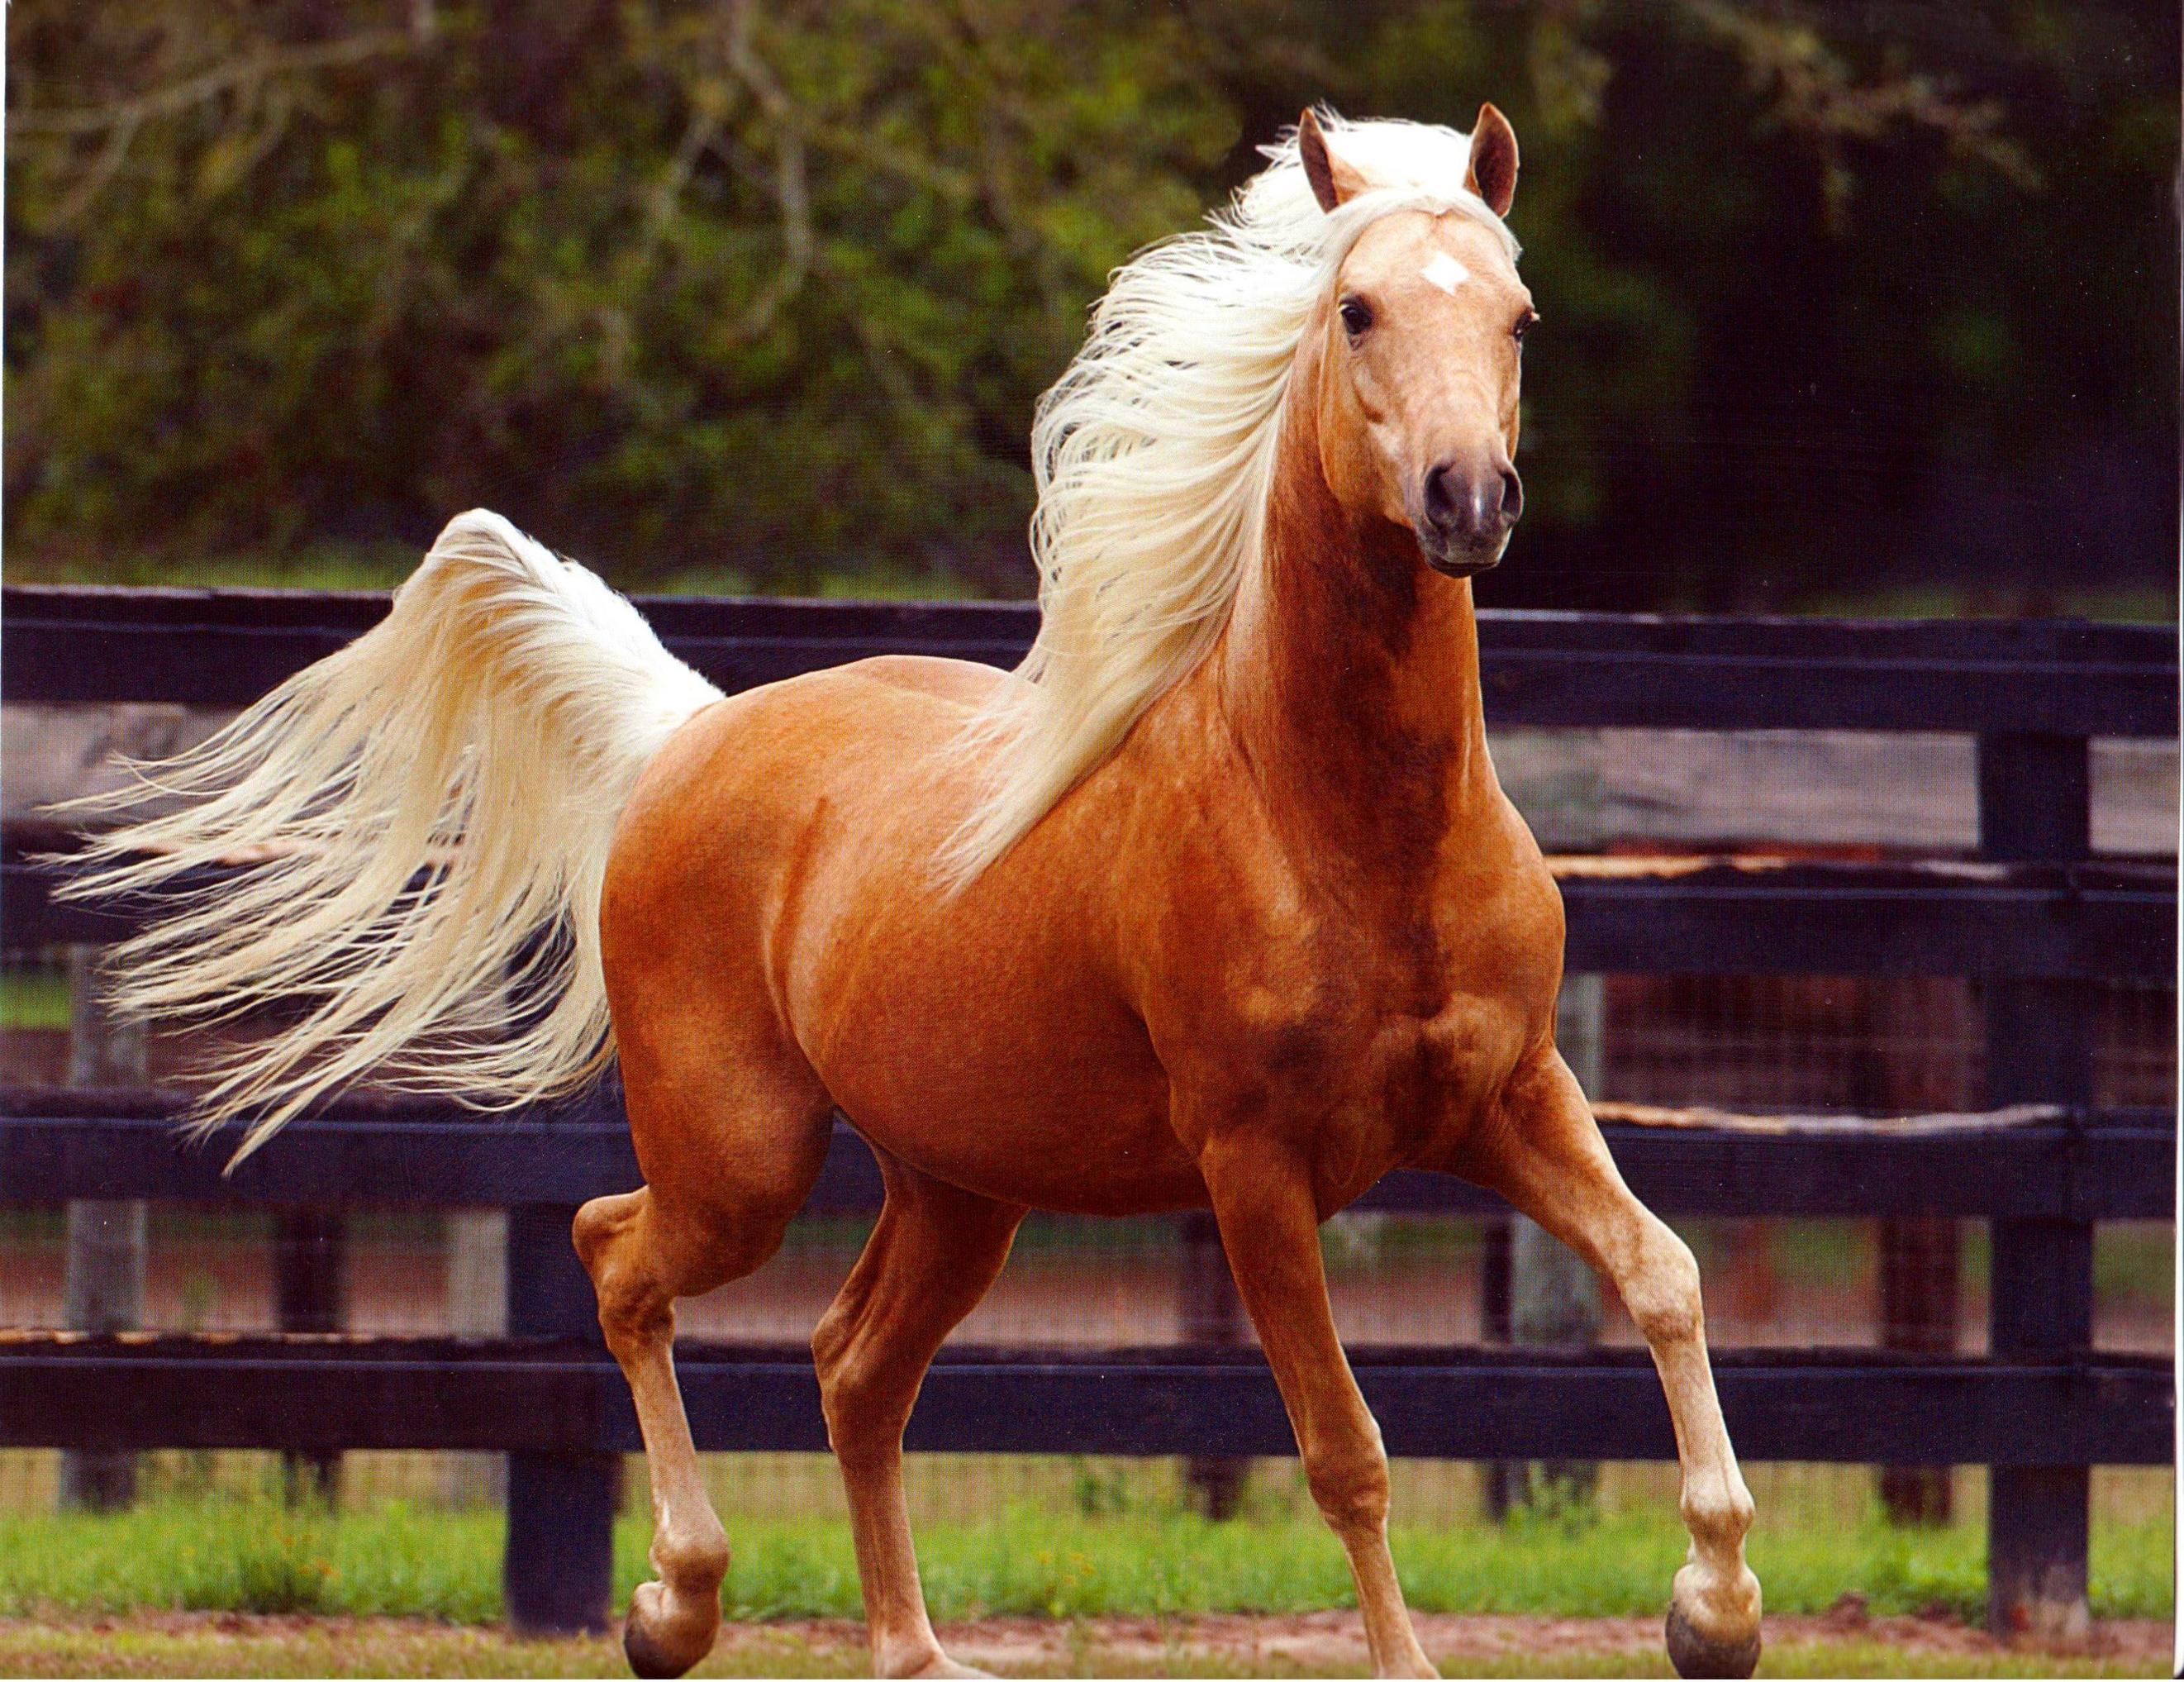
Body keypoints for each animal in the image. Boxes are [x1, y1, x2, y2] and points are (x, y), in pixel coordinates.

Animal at [63, 106, 1762, 1681]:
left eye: (1517, 318)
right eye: (1353, 310)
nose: (1466, 497)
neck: (1340, 819)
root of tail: (689, 731)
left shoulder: (1507, 1097)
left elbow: (1665, 1278)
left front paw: (1716, 1608)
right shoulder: (1254, 1170)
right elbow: (1345, 1450)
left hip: (956, 1186)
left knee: (850, 1364)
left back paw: (908, 1646)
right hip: (744, 1161)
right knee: (619, 1255)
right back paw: (672, 1605)